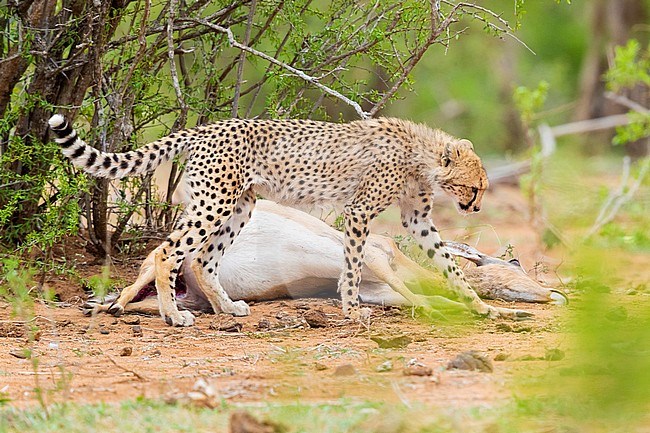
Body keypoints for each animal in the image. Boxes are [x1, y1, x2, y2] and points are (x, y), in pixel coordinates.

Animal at [49, 114, 528, 324]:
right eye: (475, 188)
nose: (476, 208)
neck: (423, 155)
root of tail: (205, 127)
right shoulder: (358, 211)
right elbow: (354, 263)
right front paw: (352, 309)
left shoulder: (418, 221)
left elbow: (449, 266)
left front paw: (482, 306)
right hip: (214, 203)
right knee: (168, 252)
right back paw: (173, 314)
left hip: (240, 206)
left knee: (202, 260)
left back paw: (227, 307)